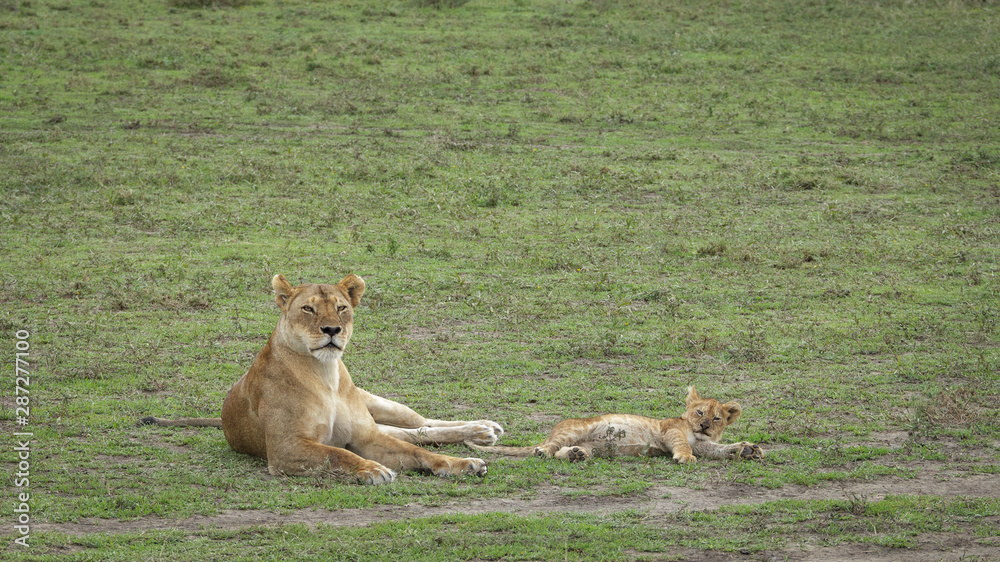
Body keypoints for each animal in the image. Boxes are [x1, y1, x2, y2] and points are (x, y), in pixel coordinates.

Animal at [141, 274, 504, 485]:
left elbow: (420, 453)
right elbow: (339, 454)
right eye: (308, 309)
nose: (332, 329)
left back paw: (483, 429)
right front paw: (372, 469)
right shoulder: (285, 448)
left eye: (341, 307)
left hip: (377, 405)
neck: (324, 374)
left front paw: (463, 464)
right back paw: (483, 432)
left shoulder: (366, 436)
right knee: (414, 432)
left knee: (421, 424)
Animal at [465, 387, 762, 464]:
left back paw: (576, 455)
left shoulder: (706, 446)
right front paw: (685, 458)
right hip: (577, 428)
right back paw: (544, 451)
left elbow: (721, 449)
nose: (704, 426)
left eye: (717, 418)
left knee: (564, 451)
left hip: (590, 445)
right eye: (699, 412)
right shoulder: (670, 431)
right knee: (549, 447)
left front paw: (748, 449)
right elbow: (682, 446)